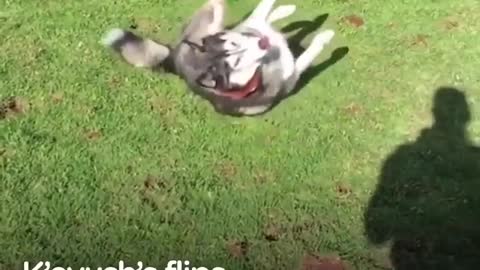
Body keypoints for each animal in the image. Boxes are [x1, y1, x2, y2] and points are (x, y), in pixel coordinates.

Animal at [101, 0, 334, 116]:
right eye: (236, 63)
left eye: (234, 45)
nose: (263, 44)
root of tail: (174, 58)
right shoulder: (292, 75)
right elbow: (311, 51)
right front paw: (325, 37)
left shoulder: (255, 28)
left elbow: (264, 9)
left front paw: (285, 10)